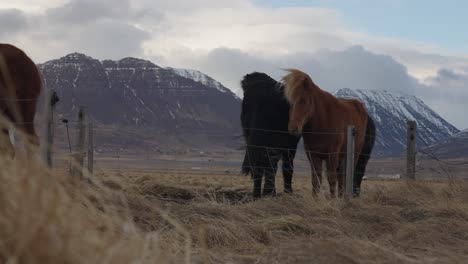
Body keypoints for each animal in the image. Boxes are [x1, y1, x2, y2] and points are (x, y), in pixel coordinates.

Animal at [282, 68, 370, 196]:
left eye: (303, 100)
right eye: (289, 102)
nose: (293, 128)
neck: (322, 121)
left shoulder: (332, 154)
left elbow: (331, 178)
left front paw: (333, 199)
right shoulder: (313, 155)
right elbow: (316, 179)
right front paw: (316, 198)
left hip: (354, 153)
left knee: (345, 175)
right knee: (341, 177)